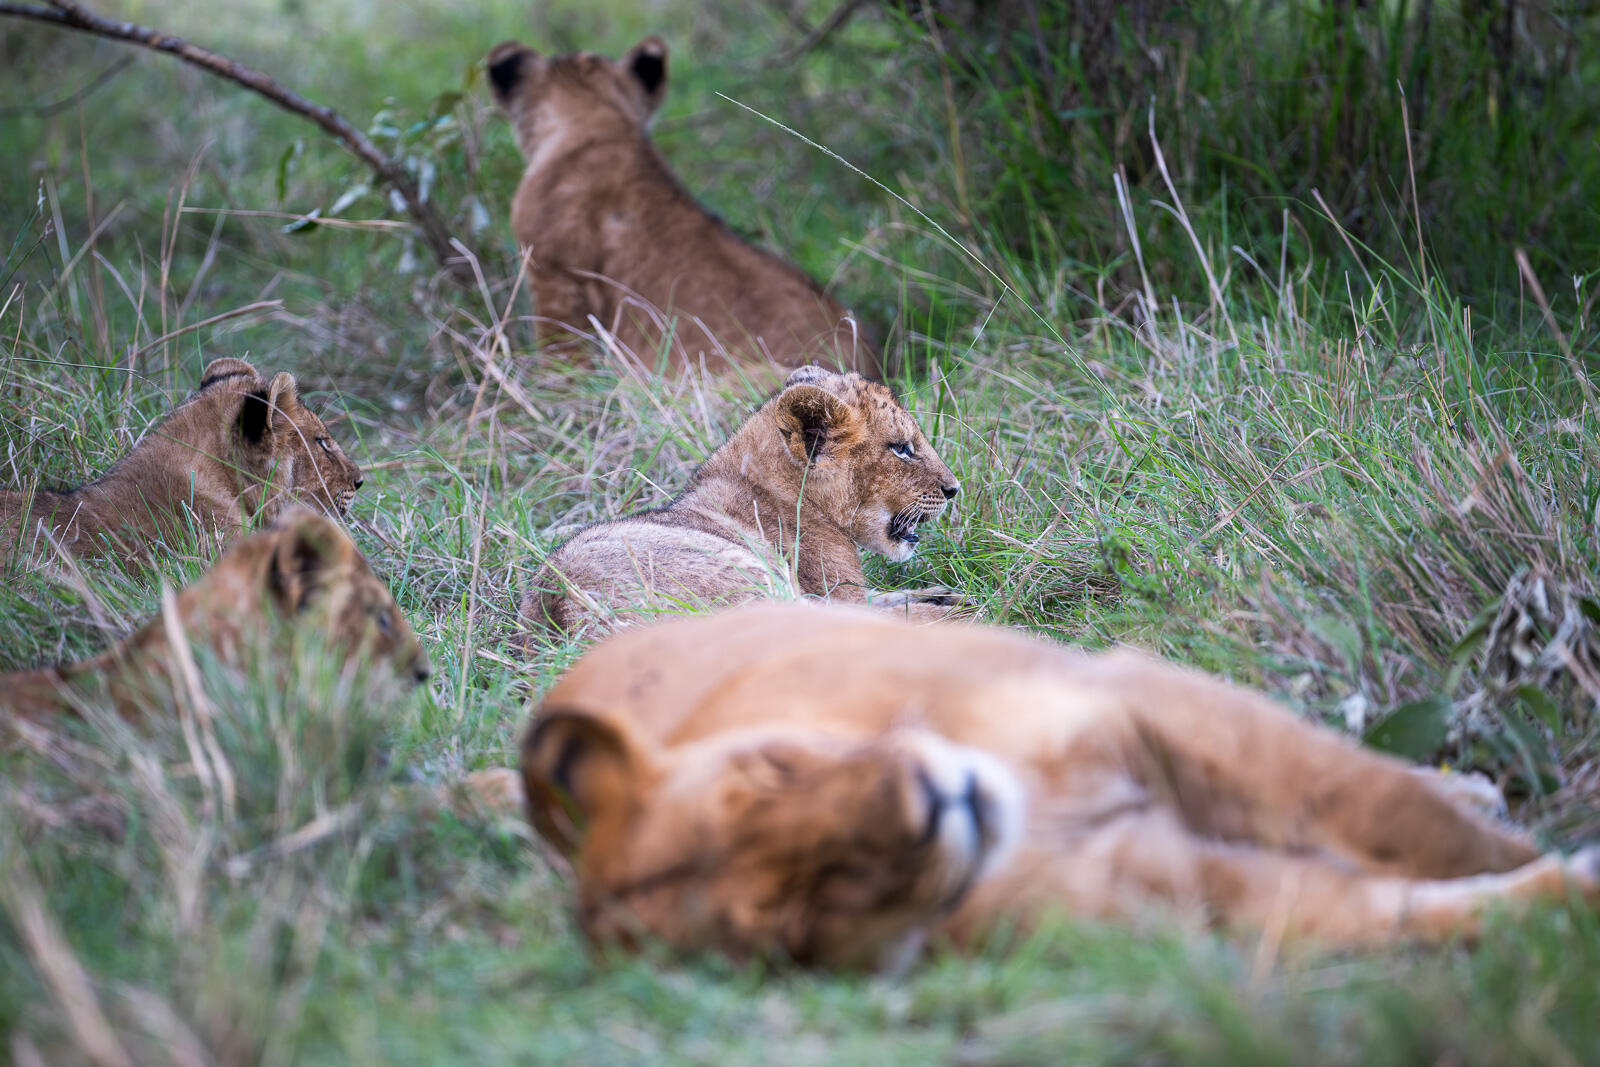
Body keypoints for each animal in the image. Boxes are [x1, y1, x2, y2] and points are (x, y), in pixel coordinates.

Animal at [516, 601, 1600, 969]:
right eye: (795, 914)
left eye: (772, 768)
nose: (929, 805)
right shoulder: (1193, 894)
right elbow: (1424, 912)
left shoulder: (1145, 696)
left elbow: (1404, 820)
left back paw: (1471, 785)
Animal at [522, 366, 964, 636]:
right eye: (901, 448)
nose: (955, 489)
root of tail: (562, 615)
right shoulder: (834, 596)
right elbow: (882, 612)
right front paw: (954, 604)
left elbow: (886, 596)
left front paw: (943, 591)